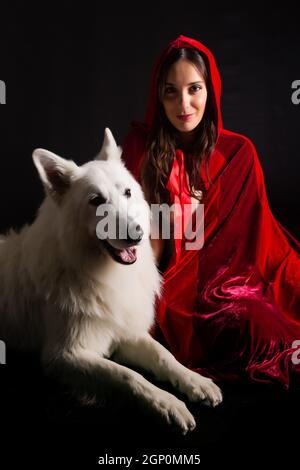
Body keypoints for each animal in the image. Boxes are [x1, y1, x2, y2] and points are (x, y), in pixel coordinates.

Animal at [0, 127, 221, 434]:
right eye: (96, 200)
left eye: (127, 192)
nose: (136, 234)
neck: (100, 273)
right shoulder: (65, 355)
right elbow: (128, 376)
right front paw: (168, 404)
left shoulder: (125, 330)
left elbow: (164, 355)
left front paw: (194, 380)